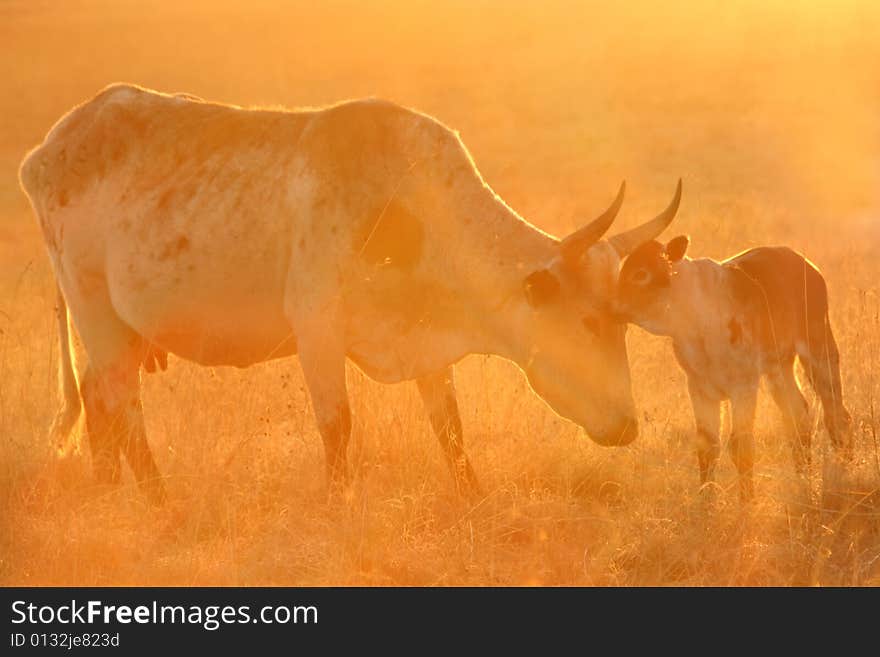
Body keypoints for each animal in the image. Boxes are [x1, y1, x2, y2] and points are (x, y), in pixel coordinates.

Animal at [18, 83, 680, 502]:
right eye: (590, 320)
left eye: (625, 321)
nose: (627, 426)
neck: (412, 211)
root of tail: (48, 148)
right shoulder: (316, 327)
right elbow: (337, 428)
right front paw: (338, 508)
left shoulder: (424, 346)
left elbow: (450, 429)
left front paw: (473, 497)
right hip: (96, 312)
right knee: (121, 407)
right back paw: (159, 505)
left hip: (118, 329)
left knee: (99, 403)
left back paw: (111, 495)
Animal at [616, 236, 848, 498]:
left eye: (641, 274)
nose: (613, 306)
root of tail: (804, 262)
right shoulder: (698, 386)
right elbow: (706, 445)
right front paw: (706, 500)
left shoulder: (744, 385)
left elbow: (741, 446)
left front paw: (747, 502)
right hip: (779, 368)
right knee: (798, 415)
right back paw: (803, 480)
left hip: (819, 349)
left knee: (837, 415)